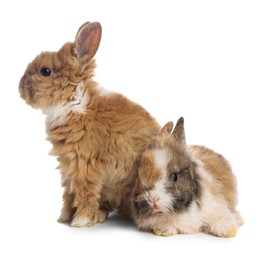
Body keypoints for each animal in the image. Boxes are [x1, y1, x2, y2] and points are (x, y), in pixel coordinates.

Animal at [18, 21, 159, 226]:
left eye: (45, 71)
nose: (20, 87)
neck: (73, 102)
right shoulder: (68, 166)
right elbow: (68, 194)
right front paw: (64, 218)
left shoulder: (84, 164)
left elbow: (84, 193)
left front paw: (80, 221)